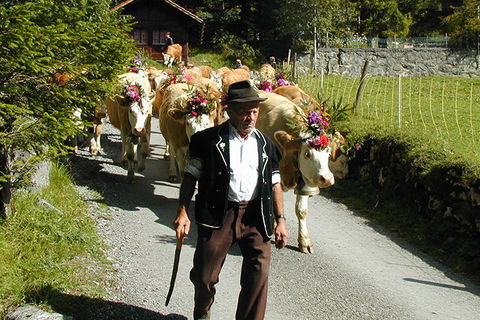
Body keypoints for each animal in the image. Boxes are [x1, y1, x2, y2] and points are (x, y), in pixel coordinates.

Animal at [255, 90, 348, 252]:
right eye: (307, 154)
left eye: (328, 153)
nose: (327, 178)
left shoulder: (306, 181)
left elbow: (301, 211)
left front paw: (304, 241)